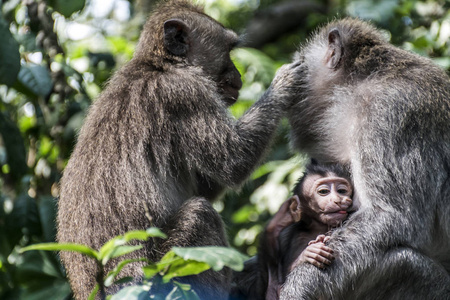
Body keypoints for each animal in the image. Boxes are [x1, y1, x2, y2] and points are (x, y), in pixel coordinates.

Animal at [55, 1, 298, 298]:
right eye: (228, 50)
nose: (238, 78)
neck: (160, 66)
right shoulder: (185, 93)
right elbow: (234, 162)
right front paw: (285, 84)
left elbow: (208, 183)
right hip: (159, 277)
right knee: (199, 215)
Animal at [280, 18, 450, 298]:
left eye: (299, 62)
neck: (360, 85)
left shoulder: (388, 115)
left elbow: (390, 216)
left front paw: (297, 288)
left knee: (402, 261)